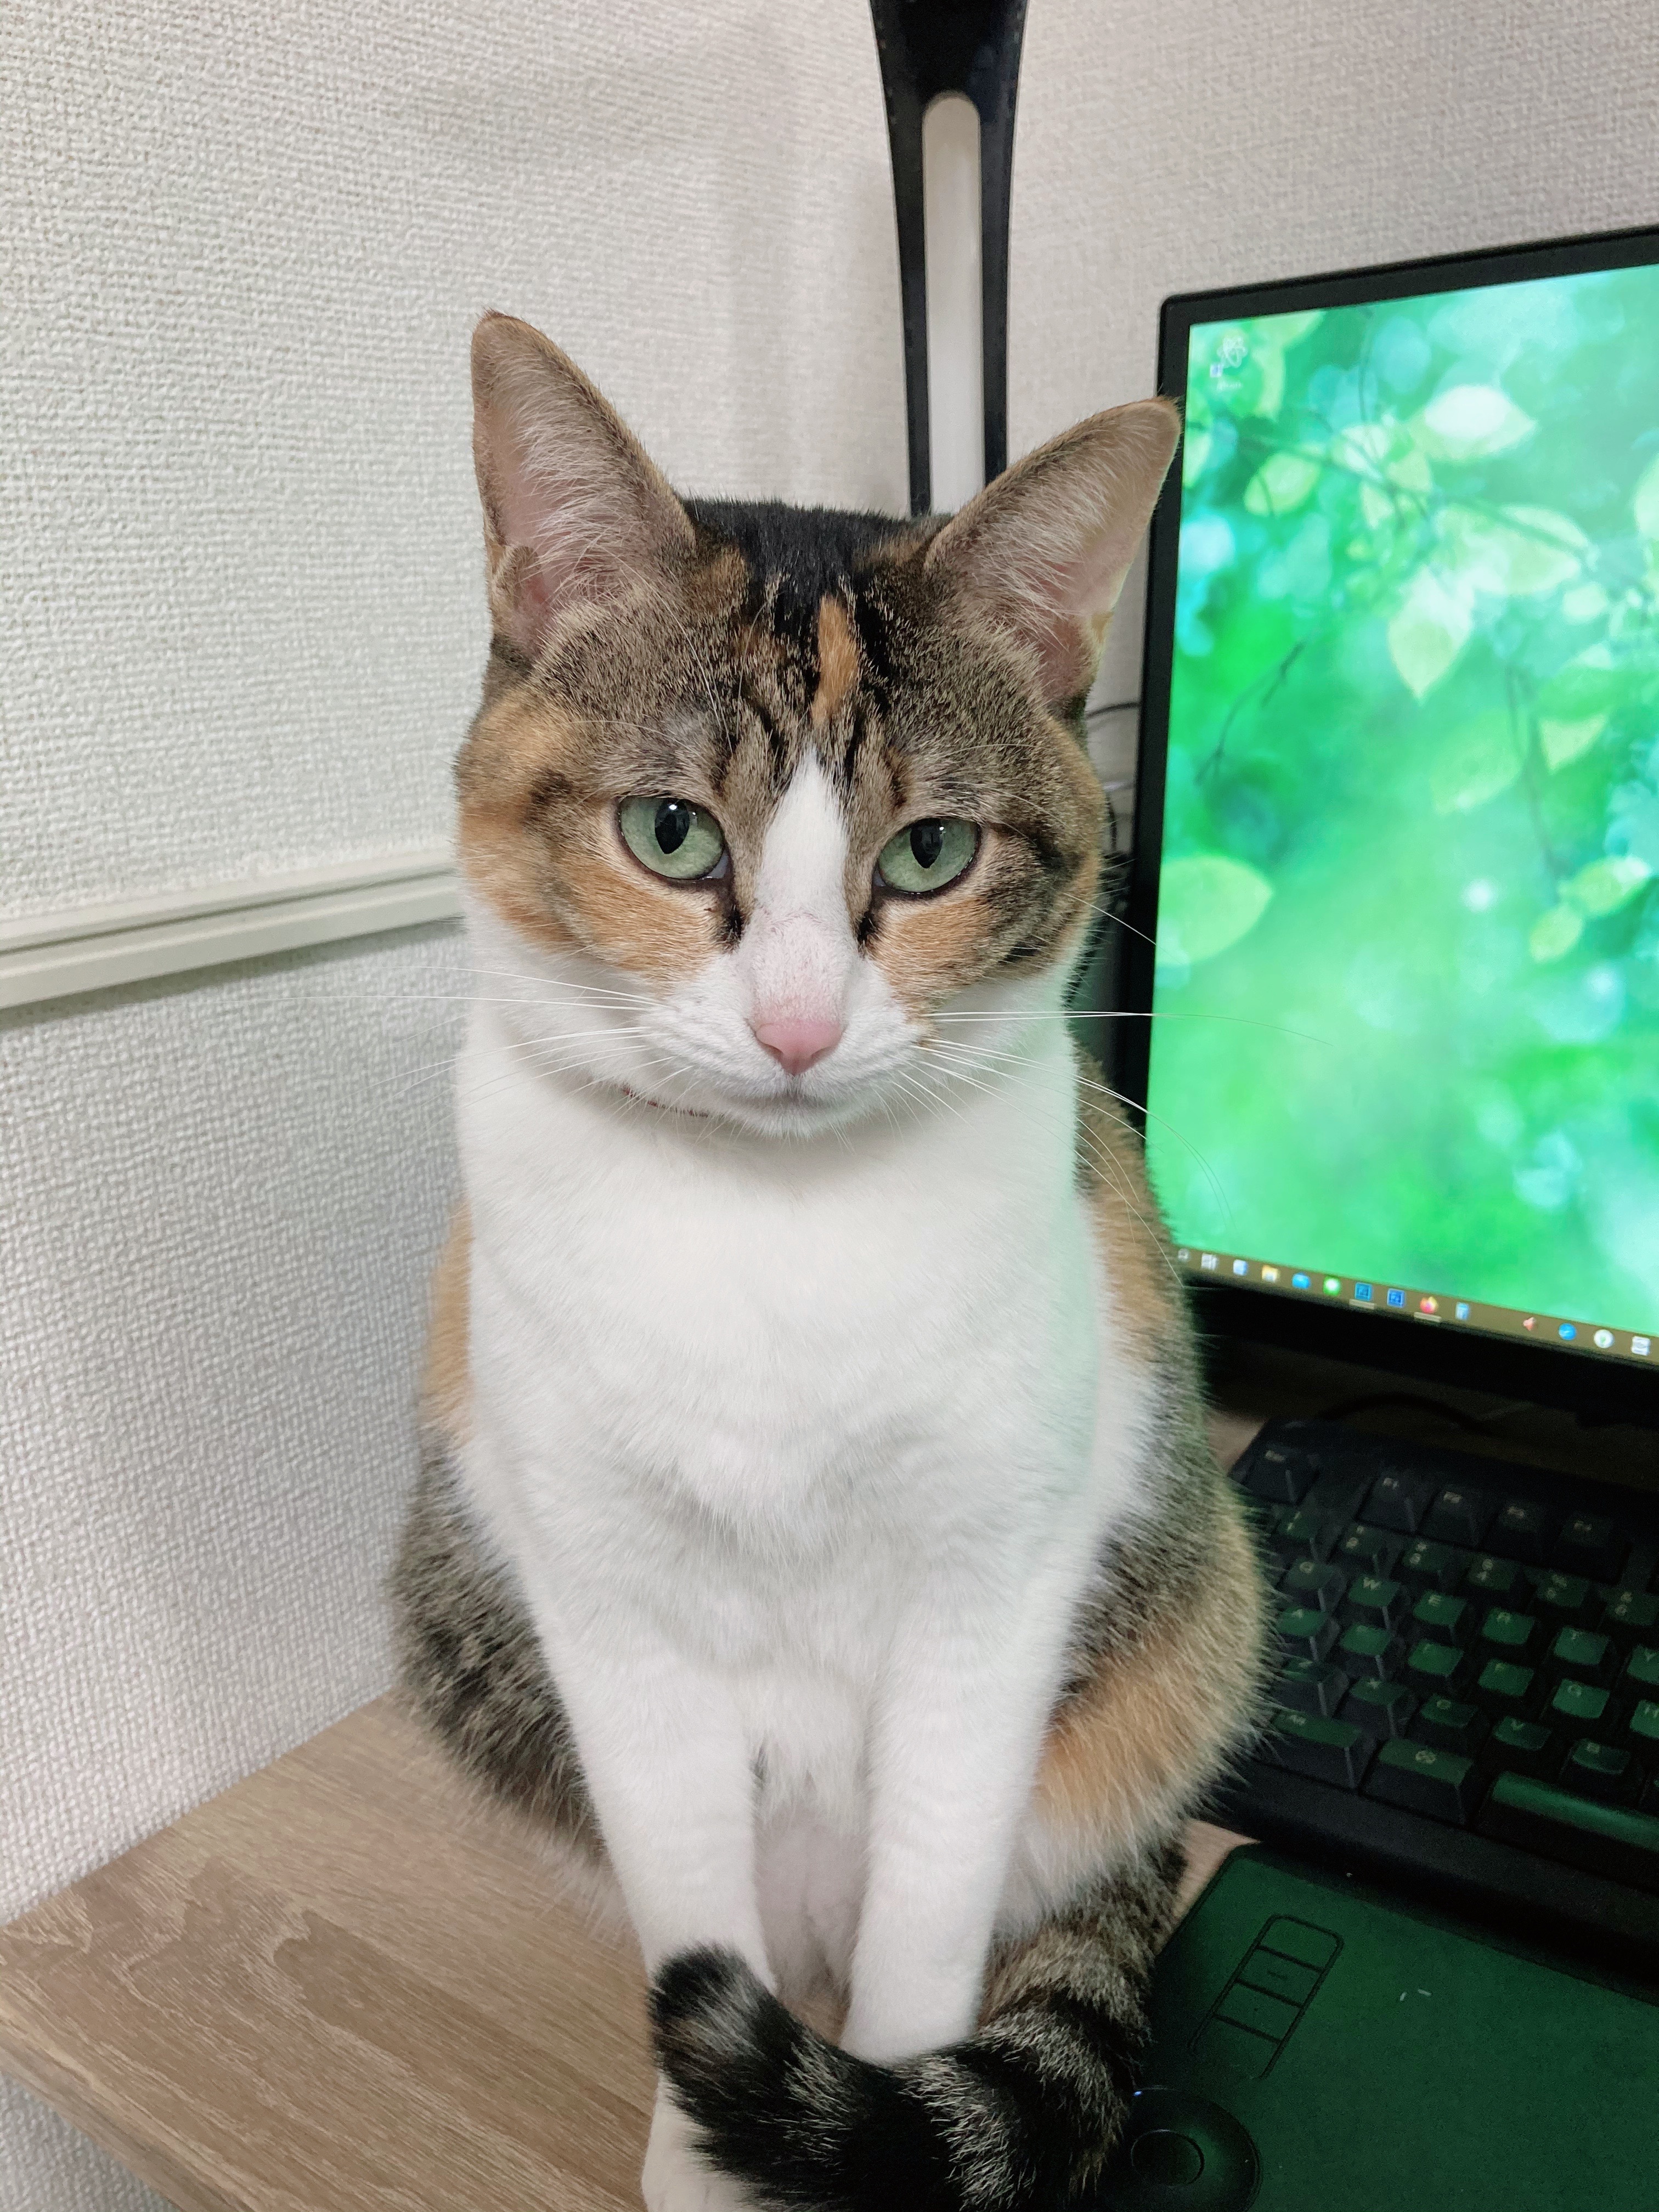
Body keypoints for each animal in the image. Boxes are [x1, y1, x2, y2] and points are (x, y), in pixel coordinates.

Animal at [391, 311, 1268, 2212]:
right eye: (668, 832)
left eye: (931, 850)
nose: (796, 1025)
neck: (774, 1243)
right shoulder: (608, 1614)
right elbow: (688, 1917)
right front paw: (712, 2152)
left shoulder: (994, 1595)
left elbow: (925, 1934)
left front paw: (872, 2119)